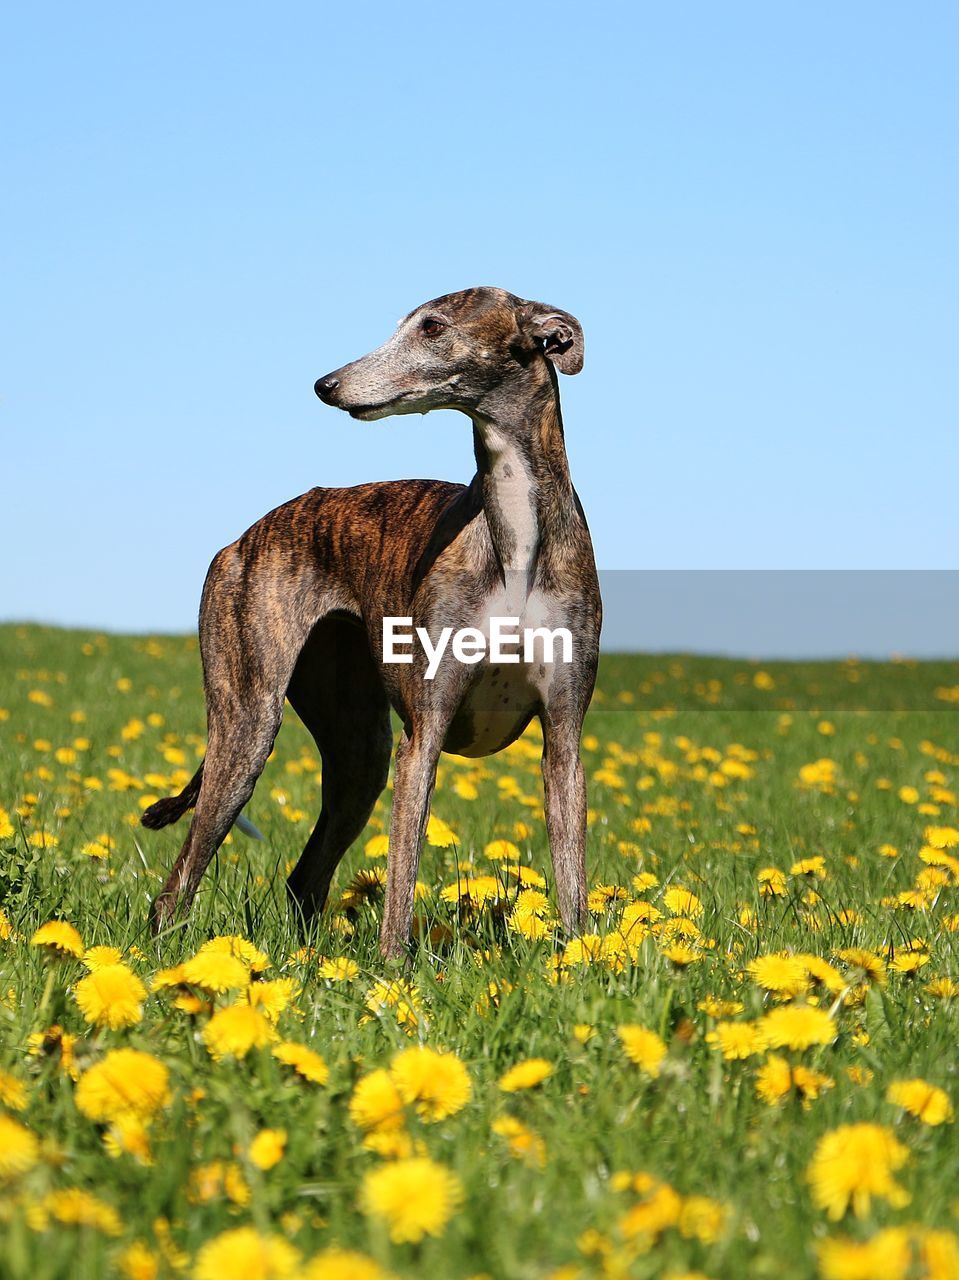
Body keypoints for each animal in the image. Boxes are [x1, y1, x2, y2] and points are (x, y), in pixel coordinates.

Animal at [144, 285, 599, 957]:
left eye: (433, 327)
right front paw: (393, 970)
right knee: (177, 884)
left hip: (358, 752)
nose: (325, 384)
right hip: (247, 726)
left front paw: (583, 962)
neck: (515, 538)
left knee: (304, 879)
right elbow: (401, 877)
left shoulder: (564, 734)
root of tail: (240, 539)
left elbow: (572, 884)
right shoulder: (423, 732)